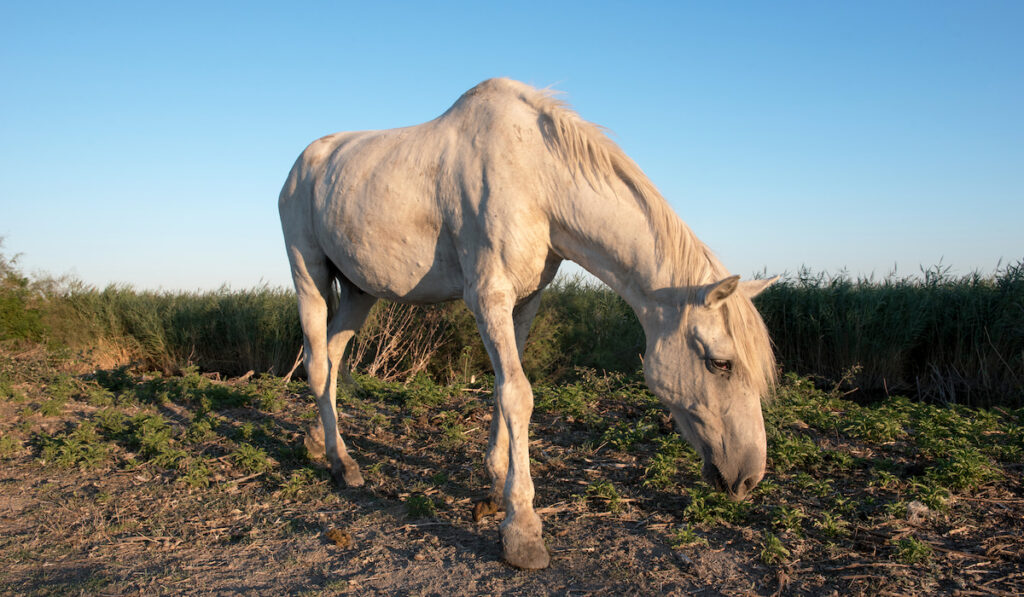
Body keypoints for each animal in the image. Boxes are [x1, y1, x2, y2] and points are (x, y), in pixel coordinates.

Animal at [280, 79, 774, 569]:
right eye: (720, 363)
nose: (749, 478)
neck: (536, 179)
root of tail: (303, 164)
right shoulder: (488, 298)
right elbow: (517, 395)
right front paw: (521, 528)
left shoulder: (525, 301)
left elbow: (504, 391)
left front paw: (496, 489)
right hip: (310, 274)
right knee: (317, 363)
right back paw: (342, 464)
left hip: (359, 291)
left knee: (332, 356)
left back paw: (319, 441)